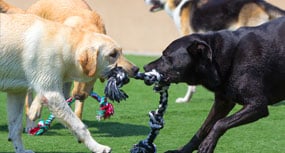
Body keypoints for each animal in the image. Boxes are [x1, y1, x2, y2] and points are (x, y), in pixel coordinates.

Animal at [0, 12, 138, 153]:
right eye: (112, 54)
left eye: (121, 51)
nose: (136, 69)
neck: (67, 45)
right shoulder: (52, 94)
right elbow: (79, 126)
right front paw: (98, 147)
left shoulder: (16, 93)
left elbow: (15, 128)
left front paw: (20, 150)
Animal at [143, 16, 284, 152]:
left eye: (166, 56)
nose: (145, 67)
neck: (220, 57)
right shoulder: (222, 103)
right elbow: (204, 128)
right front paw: (184, 150)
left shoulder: (257, 104)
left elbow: (220, 123)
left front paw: (208, 143)